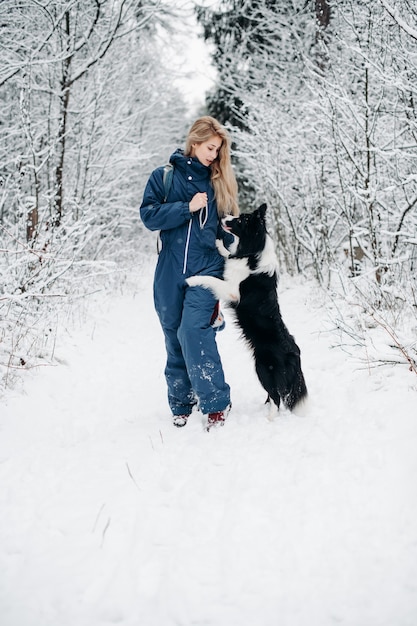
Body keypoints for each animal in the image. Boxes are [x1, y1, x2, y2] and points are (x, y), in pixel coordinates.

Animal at [187, 201, 308, 414]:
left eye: (241, 220)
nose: (223, 216)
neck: (254, 252)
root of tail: (296, 354)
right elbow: (228, 253)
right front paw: (219, 244)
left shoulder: (233, 292)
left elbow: (211, 279)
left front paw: (192, 279)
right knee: (273, 396)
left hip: (263, 368)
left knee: (277, 398)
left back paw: (269, 417)